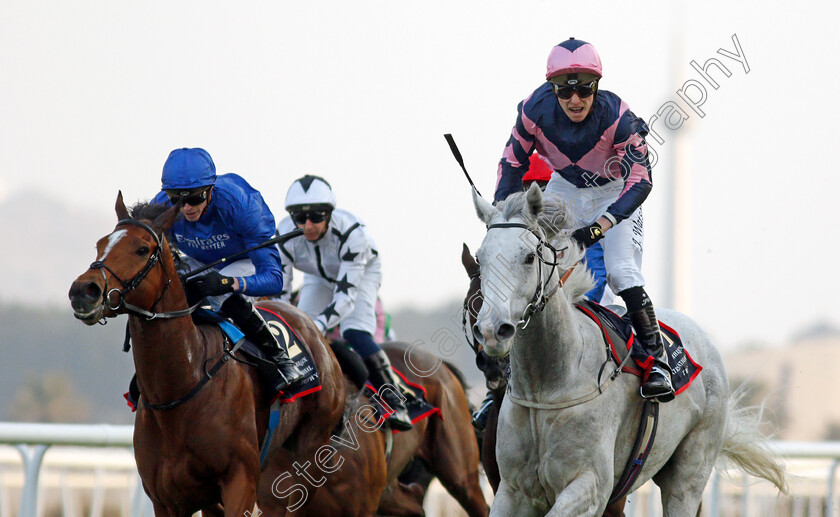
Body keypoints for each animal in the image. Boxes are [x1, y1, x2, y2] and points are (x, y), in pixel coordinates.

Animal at [68, 195, 344, 516]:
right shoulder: (166, 499)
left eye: (142, 249)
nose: (83, 290)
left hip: (310, 453)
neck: (182, 388)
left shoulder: (241, 481)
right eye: (100, 244)